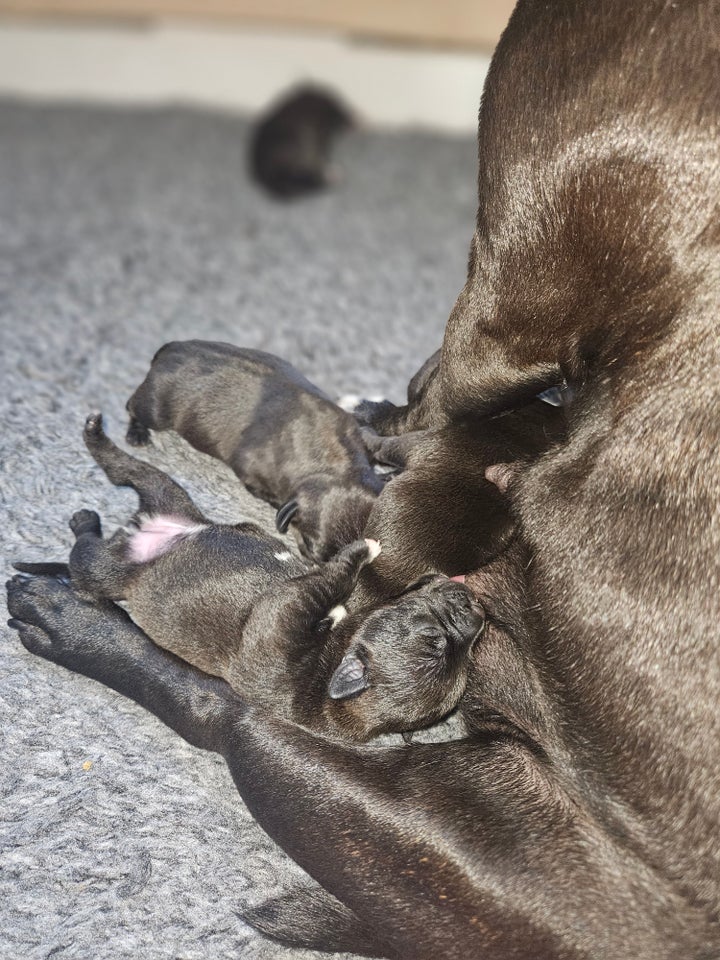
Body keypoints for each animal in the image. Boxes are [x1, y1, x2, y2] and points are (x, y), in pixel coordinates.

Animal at [57, 414, 484, 744]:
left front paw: (361, 549)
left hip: (108, 571)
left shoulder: (280, 621)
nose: (475, 611)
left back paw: (84, 520)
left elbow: (323, 582)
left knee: (87, 551)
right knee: (131, 470)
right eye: (436, 641)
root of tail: (147, 528)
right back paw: (96, 437)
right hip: (170, 493)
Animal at [125, 342, 382, 564]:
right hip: (154, 409)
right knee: (131, 406)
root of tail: (170, 348)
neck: (331, 462)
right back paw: (137, 433)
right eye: (311, 549)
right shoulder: (254, 480)